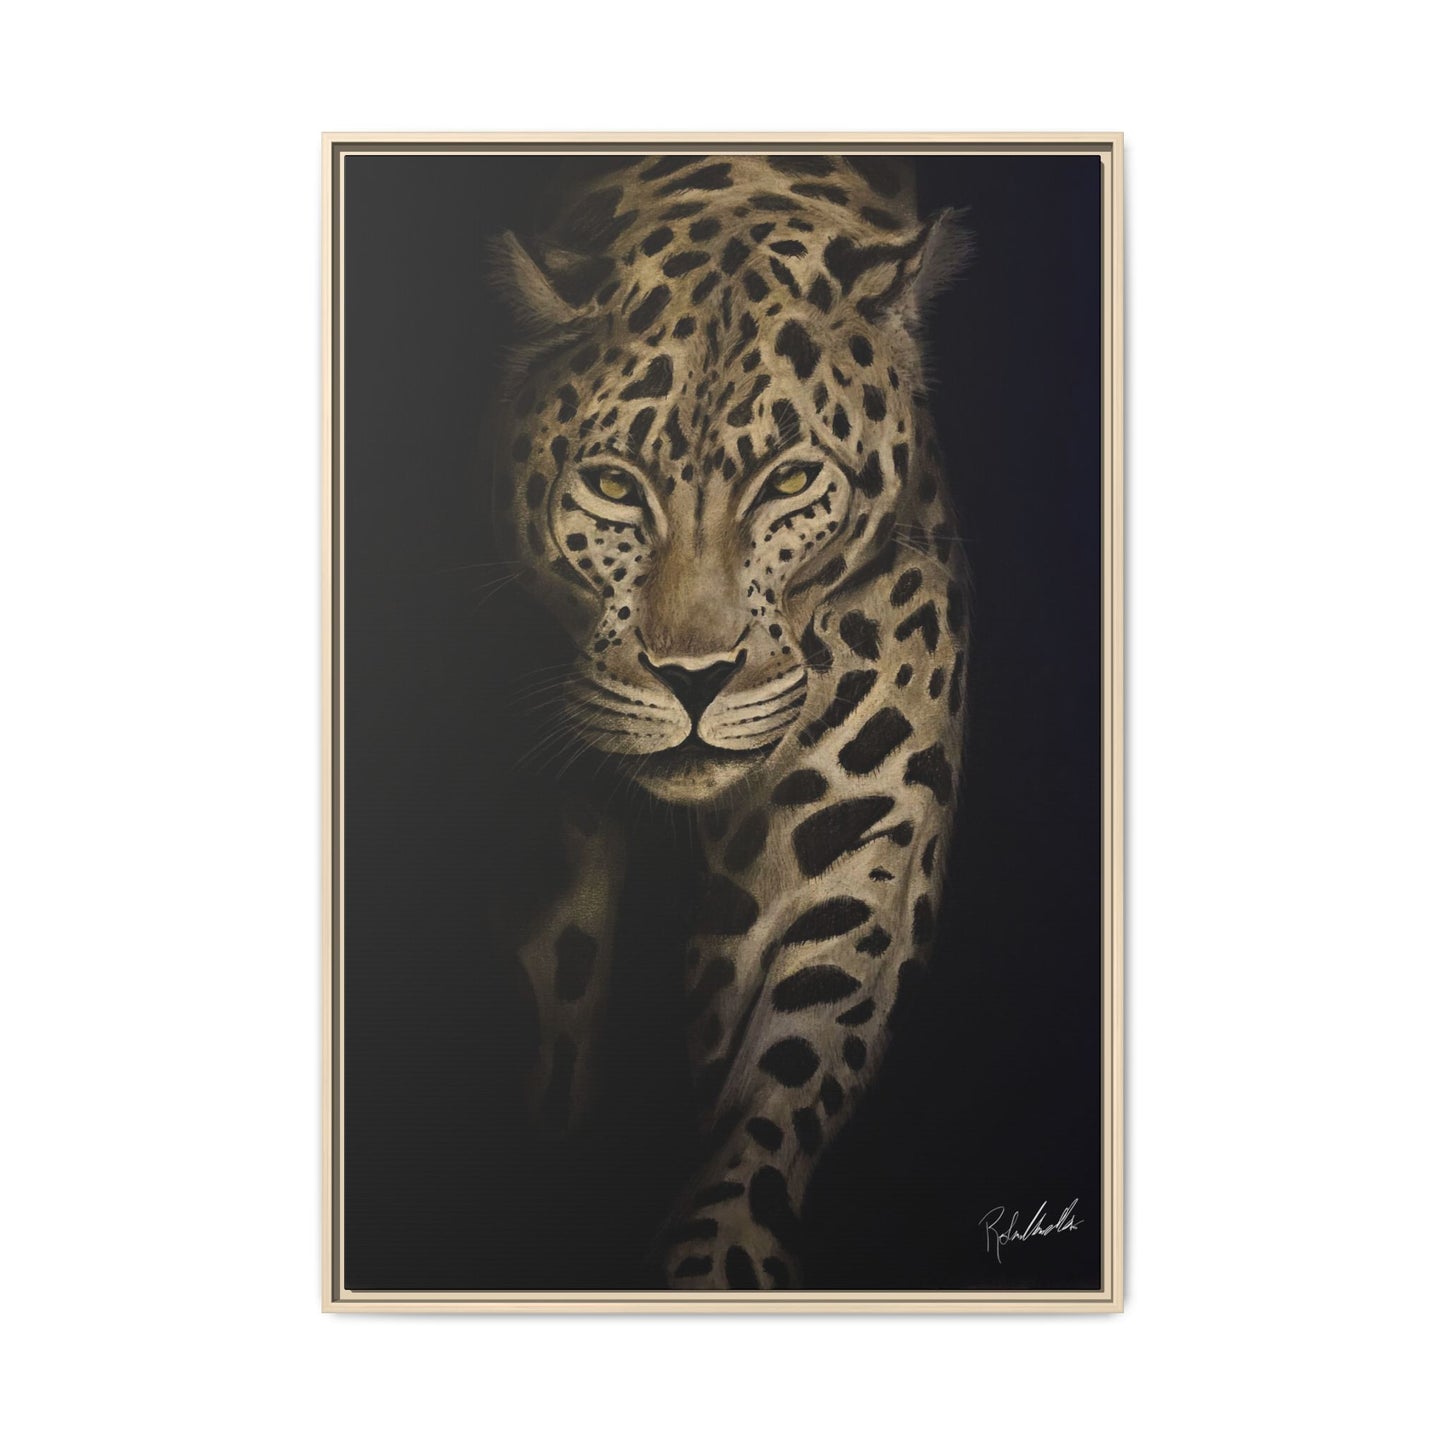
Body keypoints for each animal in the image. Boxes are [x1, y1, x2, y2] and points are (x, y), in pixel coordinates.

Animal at [488, 153, 970, 1289]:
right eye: (612, 484)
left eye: (789, 479)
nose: (694, 679)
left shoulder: (853, 840)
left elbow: (784, 1075)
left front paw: (717, 1259)